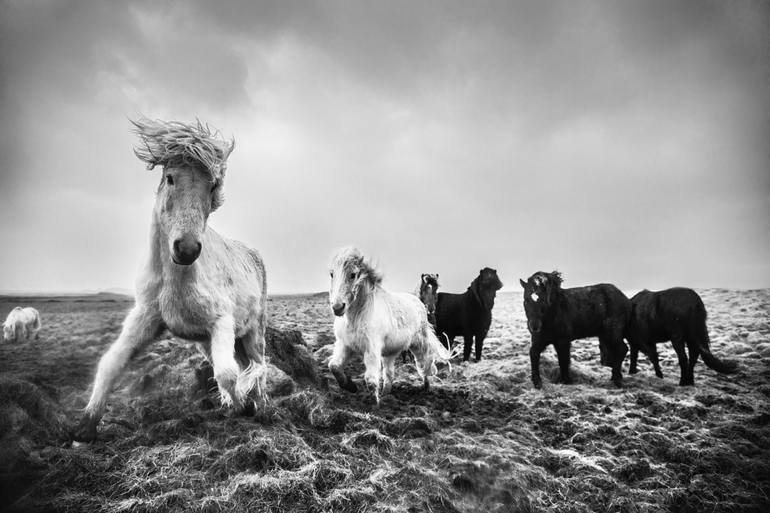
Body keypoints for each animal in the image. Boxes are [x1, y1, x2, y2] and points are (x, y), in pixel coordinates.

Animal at [74, 118, 268, 442]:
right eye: (170, 178)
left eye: (212, 186)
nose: (186, 248)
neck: (174, 283)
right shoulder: (144, 319)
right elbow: (110, 364)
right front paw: (84, 426)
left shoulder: (222, 321)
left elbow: (228, 374)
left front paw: (246, 406)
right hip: (205, 342)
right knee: (237, 364)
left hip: (253, 331)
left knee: (259, 365)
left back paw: (262, 405)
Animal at [326, 245, 456, 404]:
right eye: (332, 274)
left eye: (353, 274)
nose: (337, 307)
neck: (356, 317)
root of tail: (419, 303)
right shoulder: (345, 345)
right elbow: (334, 366)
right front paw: (350, 386)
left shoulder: (372, 350)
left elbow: (370, 381)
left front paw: (374, 403)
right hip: (389, 354)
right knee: (389, 375)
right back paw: (387, 394)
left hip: (419, 345)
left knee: (425, 365)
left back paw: (426, 388)